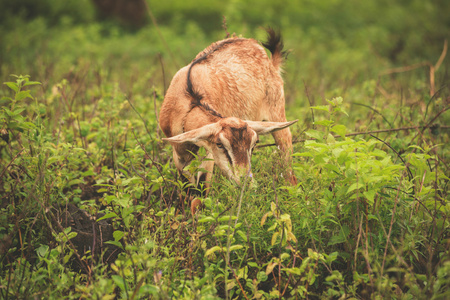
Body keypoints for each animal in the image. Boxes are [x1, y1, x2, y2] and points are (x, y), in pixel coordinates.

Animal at [160, 28, 298, 192]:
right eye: (220, 144)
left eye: (254, 144)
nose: (245, 181)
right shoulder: (179, 155)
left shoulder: (207, 156)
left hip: (278, 114)